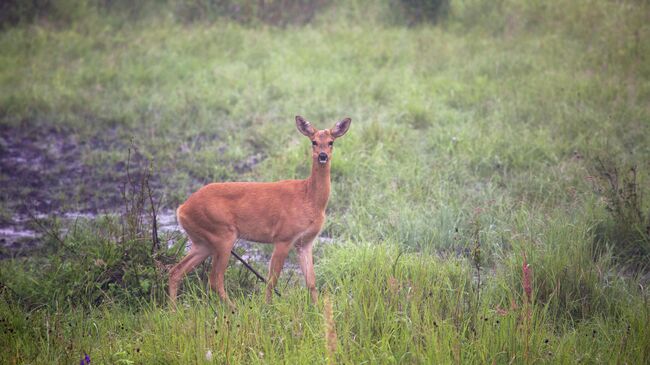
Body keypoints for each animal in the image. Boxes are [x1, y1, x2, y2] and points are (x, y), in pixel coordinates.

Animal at [167, 114, 350, 308]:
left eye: (331, 142)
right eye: (313, 141)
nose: (323, 156)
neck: (309, 198)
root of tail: (181, 209)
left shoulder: (305, 242)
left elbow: (311, 282)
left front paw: (316, 309)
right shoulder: (283, 237)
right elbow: (272, 280)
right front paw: (268, 308)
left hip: (203, 242)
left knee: (176, 271)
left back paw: (174, 310)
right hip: (222, 234)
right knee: (215, 278)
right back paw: (234, 309)